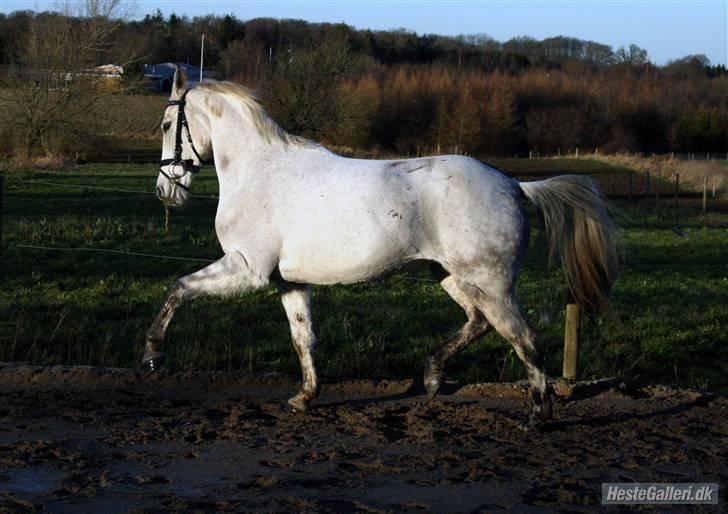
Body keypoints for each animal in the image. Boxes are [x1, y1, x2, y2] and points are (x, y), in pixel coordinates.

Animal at [145, 69, 616, 428]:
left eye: (167, 126)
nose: (165, 192)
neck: (260, 173)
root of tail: (515, 185)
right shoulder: (289, 282)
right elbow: (303, 338)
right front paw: (305, 397)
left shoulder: (247, 269)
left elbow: (179, 287)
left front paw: (153, 354)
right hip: (453, 277)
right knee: (480, 322)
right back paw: (432, 377)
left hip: (491, 284)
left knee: (524, 338)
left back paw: (536, 416)